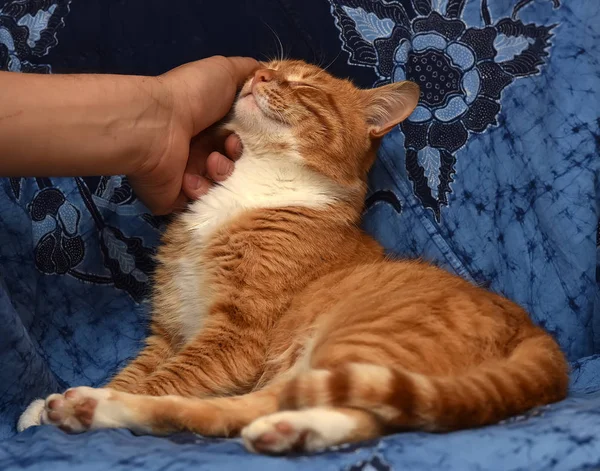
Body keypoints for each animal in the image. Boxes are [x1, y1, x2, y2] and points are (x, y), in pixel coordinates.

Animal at [18, 60, 568, 456]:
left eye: (305, 85)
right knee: (353, 419)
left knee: (242, 409)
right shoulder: (169, 331)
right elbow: (138, 372)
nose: (258, 76)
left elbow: (163, 382)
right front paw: (44, 407)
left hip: (349, 342)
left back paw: (94, 407)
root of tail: (538, 337)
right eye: (267, 65)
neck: (253, 182)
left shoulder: (236, 337)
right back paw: (290, 431)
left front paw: (72, 403)